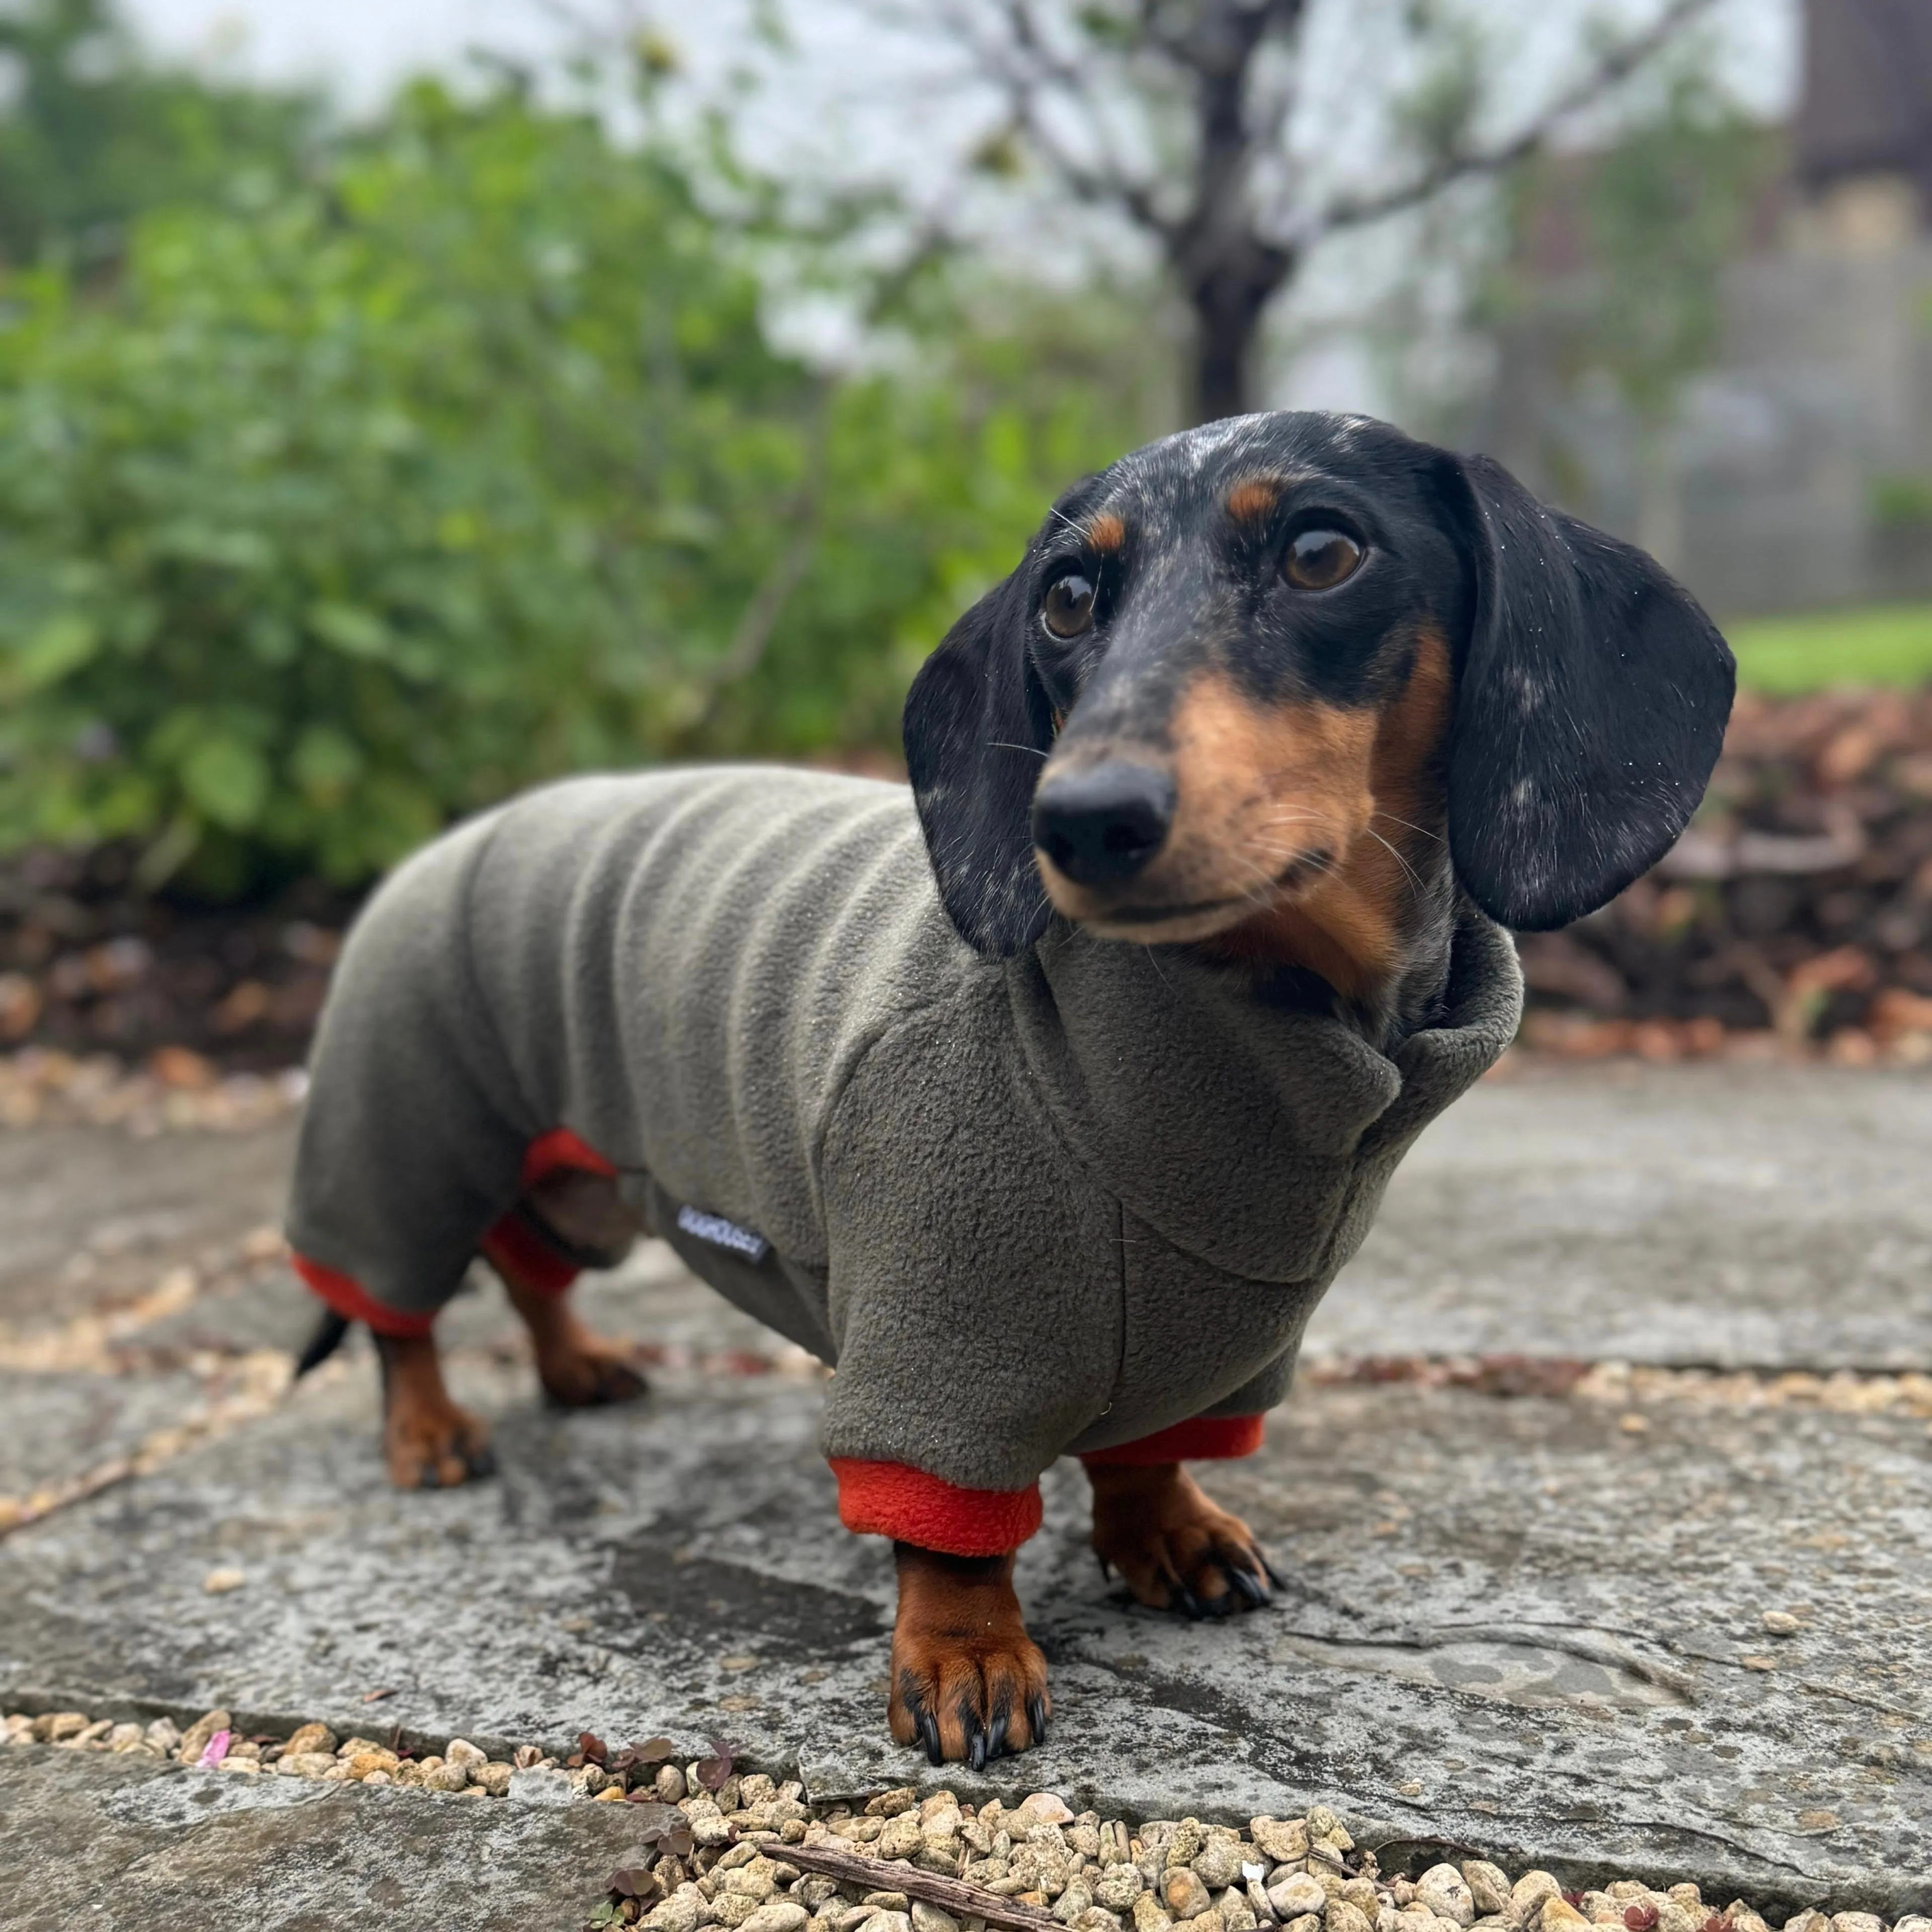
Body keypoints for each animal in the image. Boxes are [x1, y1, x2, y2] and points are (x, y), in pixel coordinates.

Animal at [282, 411, 1739, 1769]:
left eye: (1325, 552)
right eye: (1067, 596)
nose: (1079, 821)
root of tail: (450, 841)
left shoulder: (1220, 1351)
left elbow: (1150, 1451)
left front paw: (1167, 1534)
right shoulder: (938, 1341)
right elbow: (949, 1530)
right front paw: (966, 1654)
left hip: (574, 1176)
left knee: (529, 1264)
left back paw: (574, 1364)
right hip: (407, 1127)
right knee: (402, 1310)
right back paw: (429, 1429)